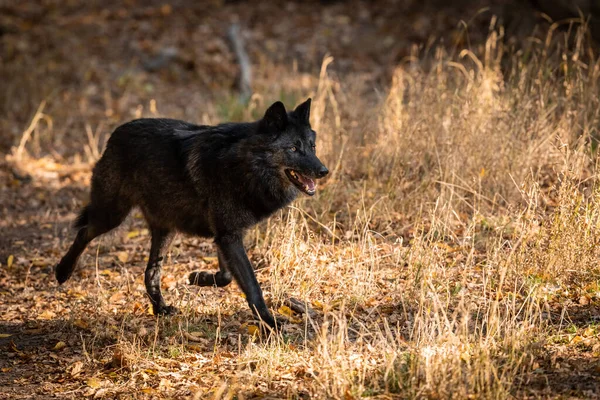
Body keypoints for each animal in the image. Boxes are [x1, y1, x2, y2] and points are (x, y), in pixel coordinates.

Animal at [55, 98, 328, 330]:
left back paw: (161, 308)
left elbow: (227, 276)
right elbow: (252, 285)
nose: (323, 170)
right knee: (84, 231)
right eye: (293, 148)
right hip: (112, 215)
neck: (245, 164)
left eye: (312, 146)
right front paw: (270, 323)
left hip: (165, 230)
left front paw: (199, 277)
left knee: (151, 272)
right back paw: (63, 271)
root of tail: (116, 133)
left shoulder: (225, 234)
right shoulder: (228, 235)